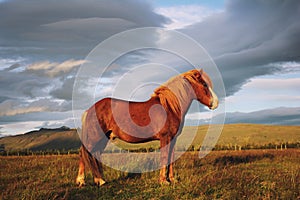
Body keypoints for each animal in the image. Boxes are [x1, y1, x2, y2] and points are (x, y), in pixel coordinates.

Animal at [76, 69, 219, 186]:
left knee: (94, 154)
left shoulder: (173, 139)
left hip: (104, 138)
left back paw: (100, 179)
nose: (216, 103)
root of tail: (89, 110)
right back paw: (83, 181)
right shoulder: (165, 138)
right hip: (95, 137)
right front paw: (163, 181)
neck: (169, 107)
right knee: (84, 153)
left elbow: (171, 158)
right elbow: (164, 157)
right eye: (204, 84)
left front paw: (172, 179)